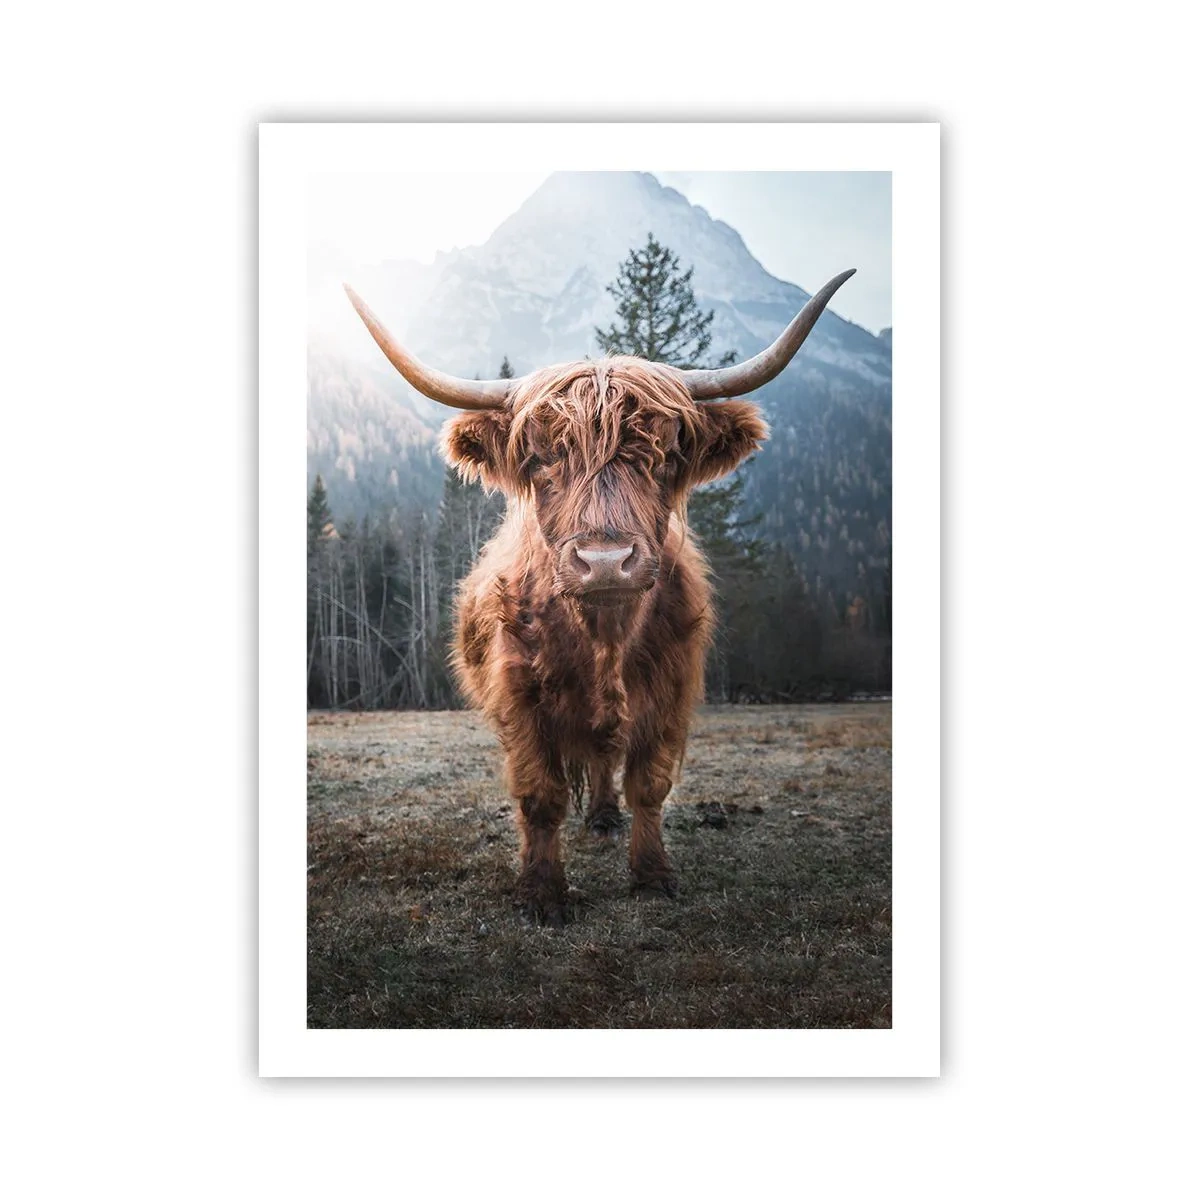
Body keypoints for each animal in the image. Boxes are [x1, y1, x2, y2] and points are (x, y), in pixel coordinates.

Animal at [344, 270, 855, 924]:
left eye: (665, 454)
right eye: (539, 457)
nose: (606, 562)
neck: (604, 637)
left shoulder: (670, 689)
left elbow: (649, 785)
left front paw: (652, 874)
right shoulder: (520, 697)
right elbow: (540, 795)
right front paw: (542, 892)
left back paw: (607, 817)